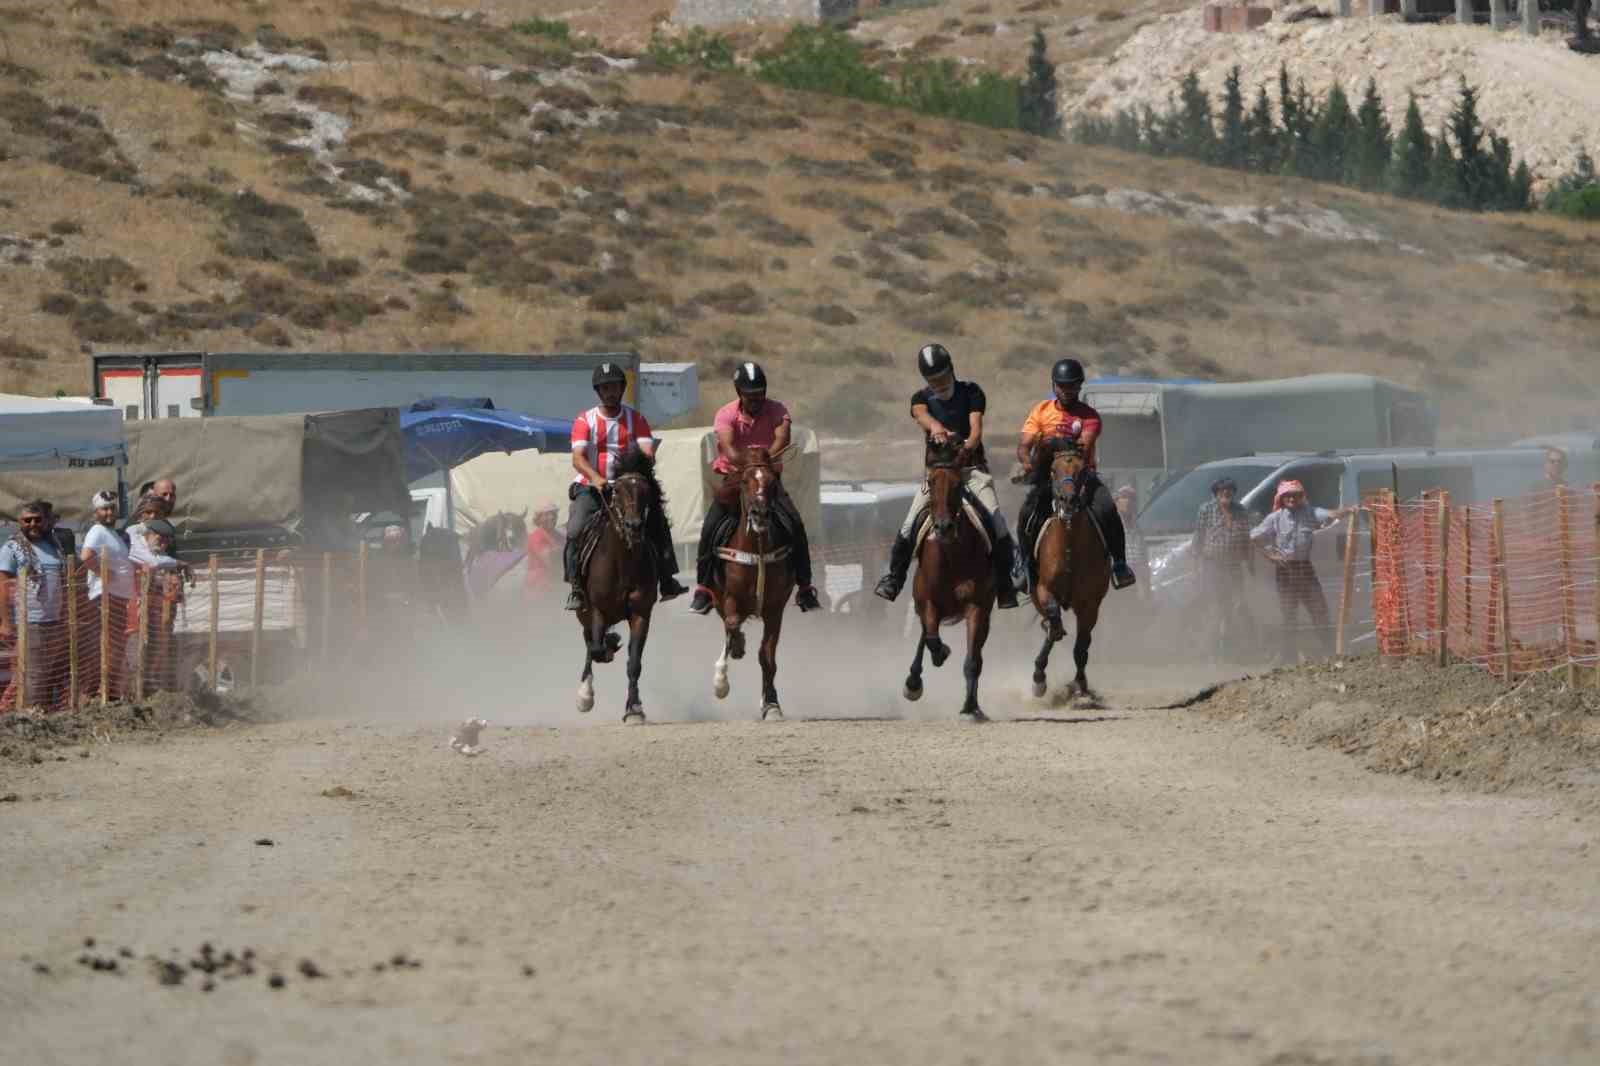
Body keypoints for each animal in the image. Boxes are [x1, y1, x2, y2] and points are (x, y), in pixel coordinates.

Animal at [576, 448, 656, 723]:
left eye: (645, 490)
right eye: (618, 490)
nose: (634, 526)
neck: (622, 562)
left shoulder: (641, 613)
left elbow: (634, 663)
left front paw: (634, 710)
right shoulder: (598, 610)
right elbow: (597, 648)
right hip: (584, 611)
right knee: (589, 641)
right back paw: (585, 695)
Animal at [713, 444, 793, 717]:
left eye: (772, 482)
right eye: (745, 480)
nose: (760, 514)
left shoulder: (775, 609)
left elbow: (767, 656)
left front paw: (771, 703)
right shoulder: (728, 598)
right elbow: (732, 623)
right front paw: (721, 680)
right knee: (728, 627)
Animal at [908, 435, 992, 717]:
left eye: (958, 484)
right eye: (932, 482)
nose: (944, 527)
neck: (951, 557)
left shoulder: (977, 607)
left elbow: (972, 660)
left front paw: (971, 706)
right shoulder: (927, 602)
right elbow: (932, 641)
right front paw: (941, 652)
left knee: (977, 653)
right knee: (926, 636)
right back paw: (913, 682)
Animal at [1024, 438, 1113, 697]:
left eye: (1082, 471)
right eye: (1054, 470)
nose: (1068, 501)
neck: (1069, 549)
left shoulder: (1090, 604)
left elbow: (1082, 645)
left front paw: (1080, 685)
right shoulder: (1044, 591)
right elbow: (1054, 626)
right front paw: (1039, 678)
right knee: (1052, 627)